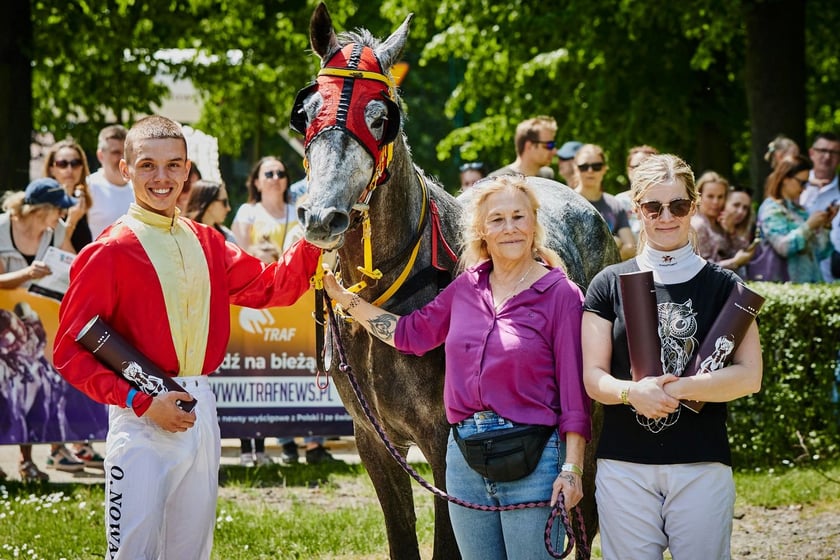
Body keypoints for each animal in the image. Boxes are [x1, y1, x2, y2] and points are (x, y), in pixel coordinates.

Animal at [294, 5, 616, 560]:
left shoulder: (445, 444)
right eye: (308, 110)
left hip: (591, 417)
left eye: (380, 118)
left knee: (582, 514)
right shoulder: (374, 441)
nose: (322, 216)